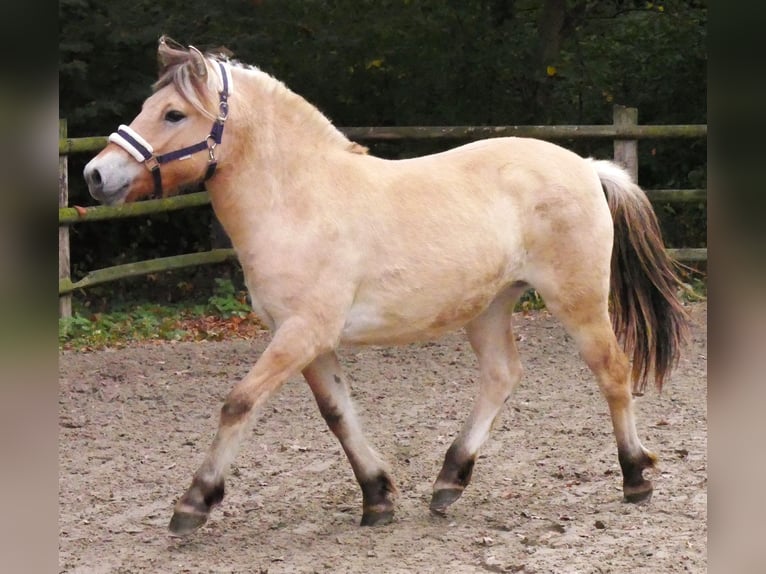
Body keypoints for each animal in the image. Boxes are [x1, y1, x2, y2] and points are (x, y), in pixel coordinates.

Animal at [83, 36, 689, 536]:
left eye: (174, 112)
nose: (96, 175)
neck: (299, 199)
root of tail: (587, 165)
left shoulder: (301, 332)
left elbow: (239, 403)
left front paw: (194, 503)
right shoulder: (307, 339)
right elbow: (338, 415)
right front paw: (377, 497)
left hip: (578, 300)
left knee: (612, 371)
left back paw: (635, 477)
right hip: (490, 306)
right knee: (501, 377)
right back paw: (448, 482)